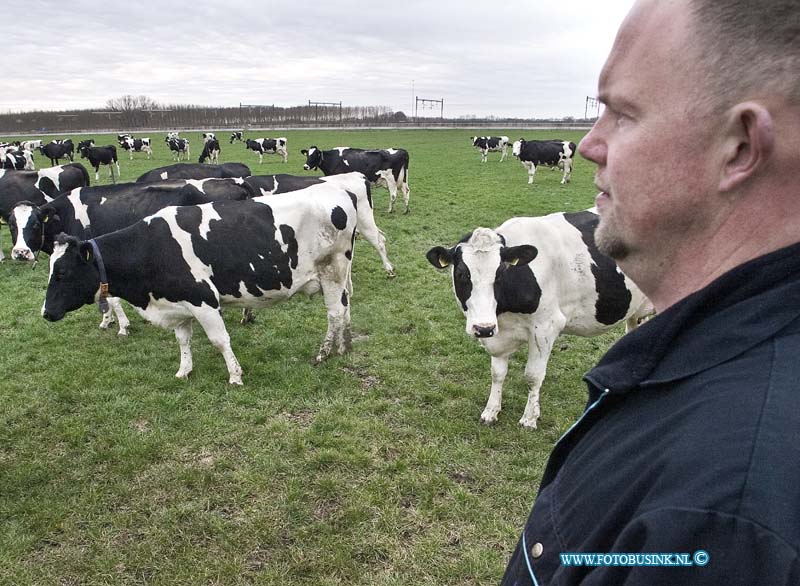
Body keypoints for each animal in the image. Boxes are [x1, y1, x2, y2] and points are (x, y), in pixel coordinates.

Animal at [42, 182, 356, 384]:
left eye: (62, 273)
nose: (45, 312)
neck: (152, 249)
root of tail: (341, 191)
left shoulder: (204, 300)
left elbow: (219, 340)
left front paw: (235, 375)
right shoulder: (178, 303)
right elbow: (183, 340)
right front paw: (184, 371)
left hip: (332, 270)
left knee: (334, 313)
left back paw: (324, 353)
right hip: (339, 276)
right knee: (345, 309)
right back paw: (344, 347)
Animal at [428, 209, 652, 424]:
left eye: (500, 274)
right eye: (461, 274)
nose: (483, 328)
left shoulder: (546, 327)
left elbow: (533, 376)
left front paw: (529, 418)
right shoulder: (499, 333)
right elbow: (497, 374)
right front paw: (491, 411)